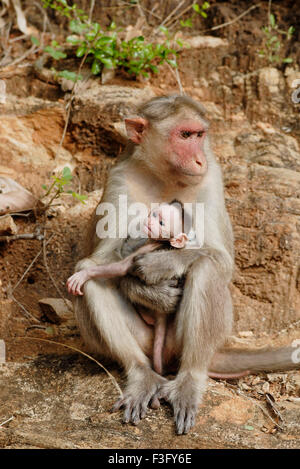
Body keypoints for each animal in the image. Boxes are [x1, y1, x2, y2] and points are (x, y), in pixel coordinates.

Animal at [67, 199, 190, 374]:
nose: (150, 222)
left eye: (161, 222)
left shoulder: (147, 247)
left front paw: (83, 275)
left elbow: (121, 267)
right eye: (154, 214)